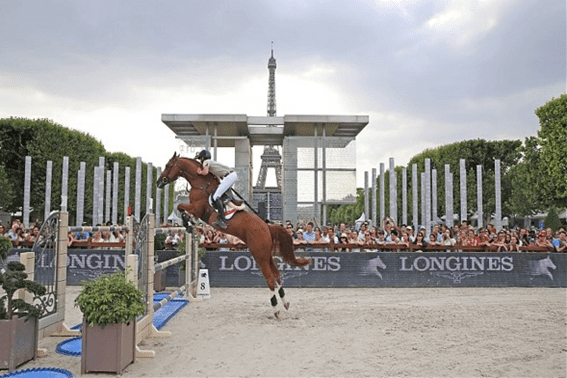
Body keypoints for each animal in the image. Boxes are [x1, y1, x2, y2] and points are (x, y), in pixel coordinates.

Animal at [158, 152, 312, 318]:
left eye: (168, 165)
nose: (159, 182)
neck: (200, 183)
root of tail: (267, 226)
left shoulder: (197, 208)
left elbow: (181, 207)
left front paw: (188, 223)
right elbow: (182, 208)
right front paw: (190, 222)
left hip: (259, 254)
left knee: (270, 278)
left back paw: (276, 309)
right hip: (267, 254)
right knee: (277, 275)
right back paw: (285, 302)